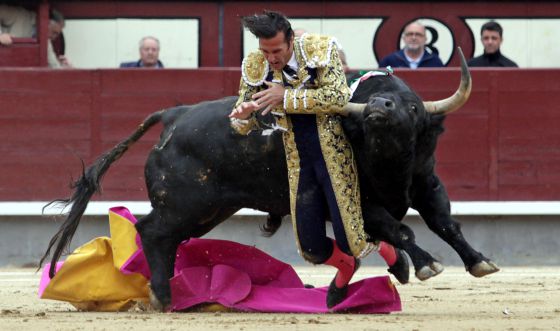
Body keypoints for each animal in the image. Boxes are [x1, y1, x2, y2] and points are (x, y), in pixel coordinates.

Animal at [40, 50, 498, 310]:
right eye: (367, 101)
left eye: (412, 107)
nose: (378, 108)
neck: (387, 161)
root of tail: (174, 114)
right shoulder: (359, 202)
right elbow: (400, 229)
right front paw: (425, 264)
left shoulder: (426, 184)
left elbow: (445, 223)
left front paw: (478, 261)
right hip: (187, 203)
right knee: (153, 231)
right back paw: (163, 297)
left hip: (210, 209)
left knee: (164, 237)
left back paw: (163, 294)